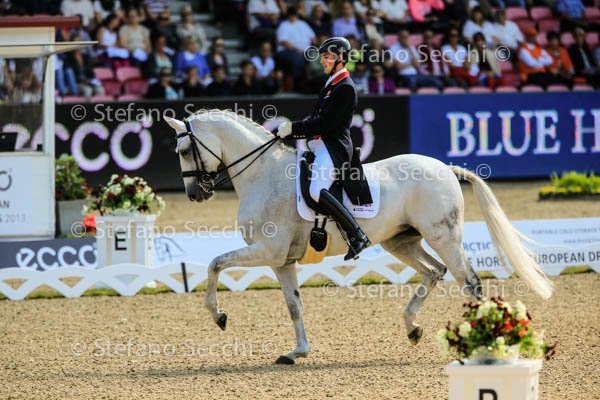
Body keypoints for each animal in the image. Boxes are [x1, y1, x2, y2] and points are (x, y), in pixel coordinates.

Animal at [164, 109, 553, 365]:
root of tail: (444, 167)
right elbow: (293, 305)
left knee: (468, 281)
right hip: (401, 241)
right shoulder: (281, 261)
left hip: (444, 235)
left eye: (183, 151)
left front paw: (218, 315)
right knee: (434, 272)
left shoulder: (267, 250)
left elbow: (215, 264)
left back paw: (483, 344)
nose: (195, 195)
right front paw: (298, 352)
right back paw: (412, 327)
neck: (263, 174)